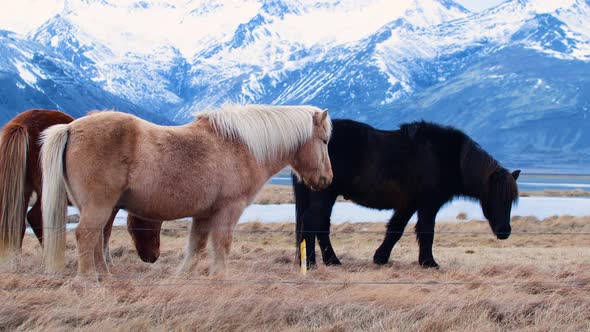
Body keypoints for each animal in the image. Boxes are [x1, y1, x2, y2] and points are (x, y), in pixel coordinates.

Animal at [41, 104, 332, 278]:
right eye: (325, 140)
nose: (327, 179)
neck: (241, 146)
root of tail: (70, 128)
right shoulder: (229, 209)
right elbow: (221, 244)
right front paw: (219, 278)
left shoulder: (203, 214)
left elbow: (196, 247)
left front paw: (183, 277)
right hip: (99, 206)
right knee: (87, 237)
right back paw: (89, 280)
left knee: (97, 239)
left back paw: (105, 277)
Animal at [294, 118, 520, 268]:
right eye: (496, 197)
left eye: (510, 200)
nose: (505, 232)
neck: (449, 158)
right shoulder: (428, 204)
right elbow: (426, 231)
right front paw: (429, 263)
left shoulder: (408, 204)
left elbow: (396, 229)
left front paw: (381, 258)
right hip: (325, 194)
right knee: (313, 221)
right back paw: (316, 262)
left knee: (319, 224)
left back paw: (327, 261)